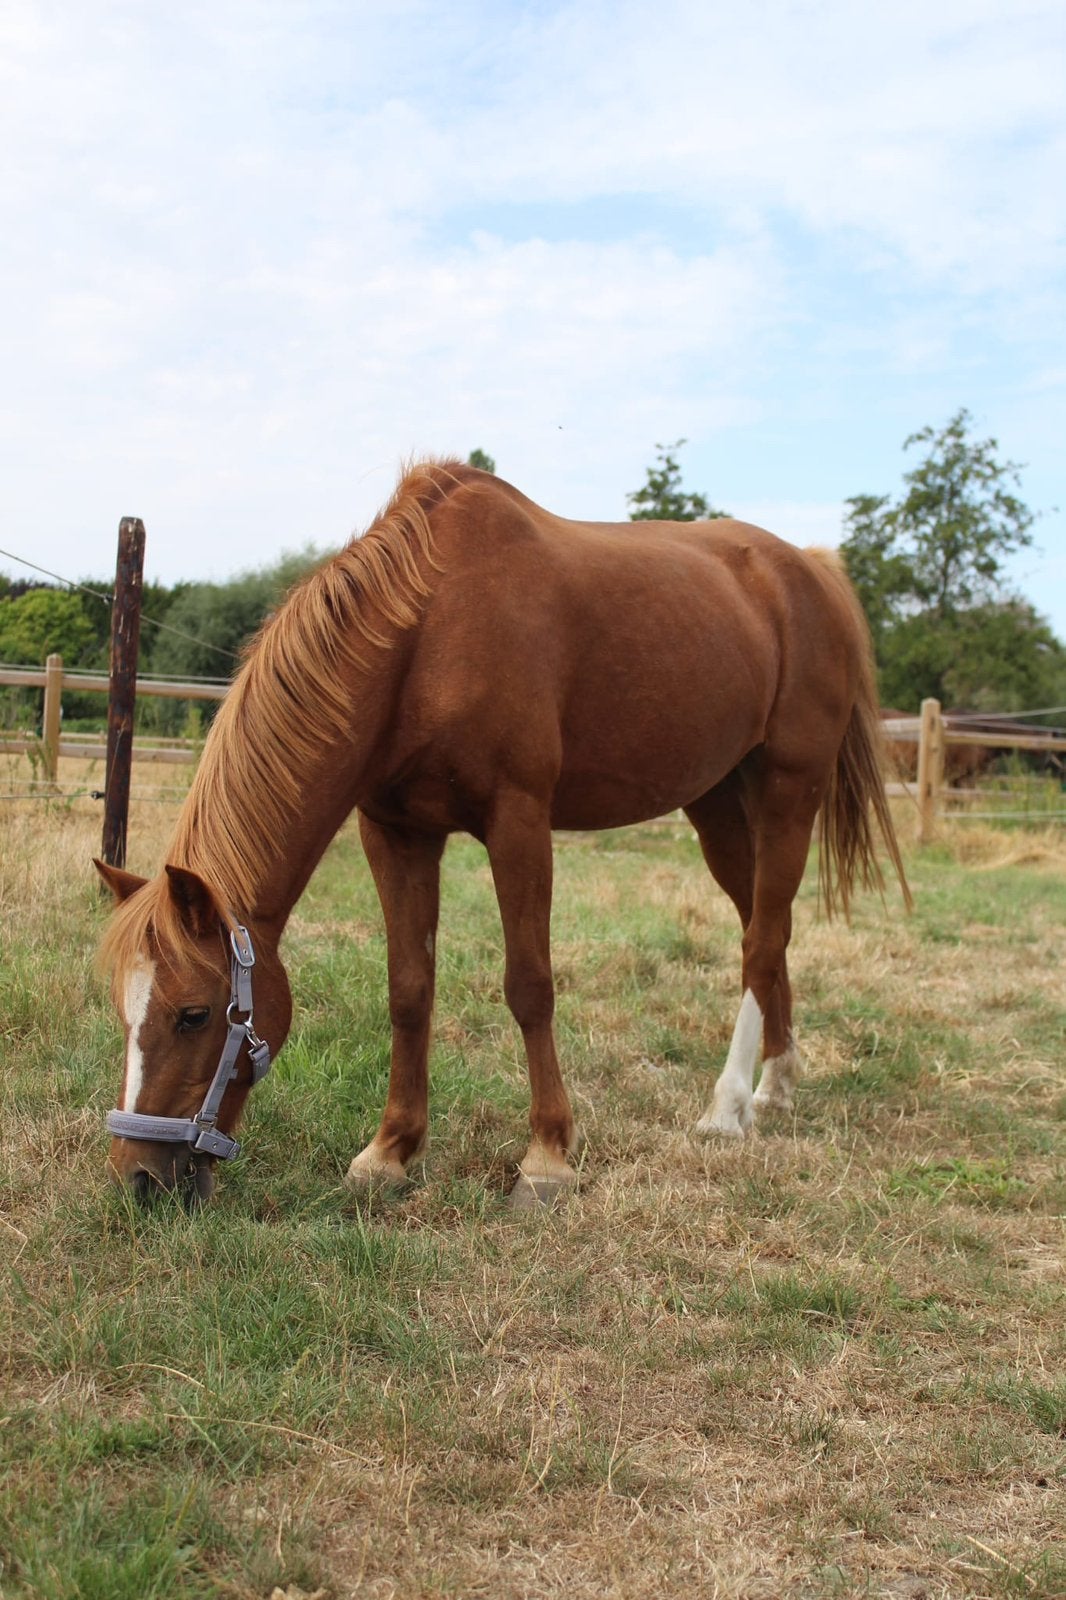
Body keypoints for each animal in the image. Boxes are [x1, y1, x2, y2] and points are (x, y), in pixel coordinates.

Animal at [96, 459, 909, 1208]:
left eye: (194, 1014)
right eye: (122, 1010)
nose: (141, 1178)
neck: (428, 634)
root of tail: (810, 567)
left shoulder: (518, 821)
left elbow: (530, 985)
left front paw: (546, 1157)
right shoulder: (395, 832)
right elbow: (409, 988)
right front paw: (390, 1151)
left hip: (788, 792)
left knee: (761, 939)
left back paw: (730, 1105)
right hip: (716, 805)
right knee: (766, 932)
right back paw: (778, 1082)